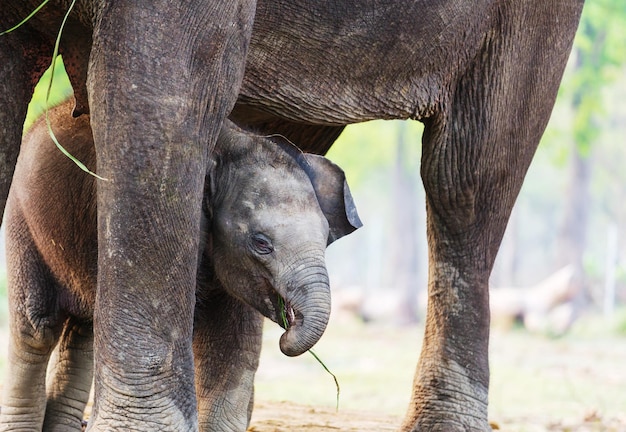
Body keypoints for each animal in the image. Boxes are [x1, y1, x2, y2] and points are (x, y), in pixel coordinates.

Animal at [1, 99, 360, 430]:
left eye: (326, 237)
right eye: (261, 243)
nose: (287, 334)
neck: (234, 145)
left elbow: (236, 349)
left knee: (82, 332)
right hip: (23, 223)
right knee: (38, 328)